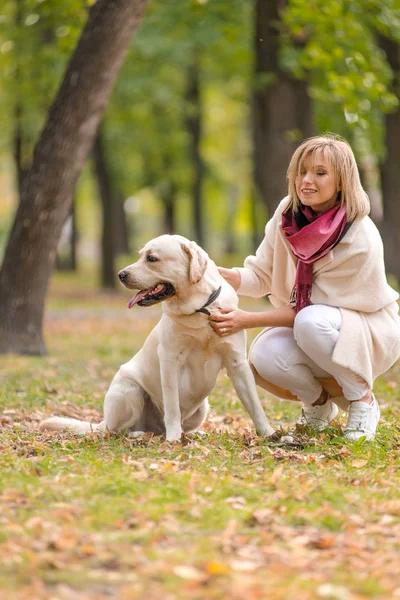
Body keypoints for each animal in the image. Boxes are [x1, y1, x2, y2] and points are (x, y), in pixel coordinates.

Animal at [39, 234, 276, 440]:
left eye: (151, 258)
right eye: (140, 255)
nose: (121, 274)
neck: (200, 309)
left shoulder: (237, 362)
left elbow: (254, 404)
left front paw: (269, 433)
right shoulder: (170, 361)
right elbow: (172, 407)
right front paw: (174, 439)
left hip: (202, 408)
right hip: (130, 391)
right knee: (116, 431)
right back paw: (142, 434)